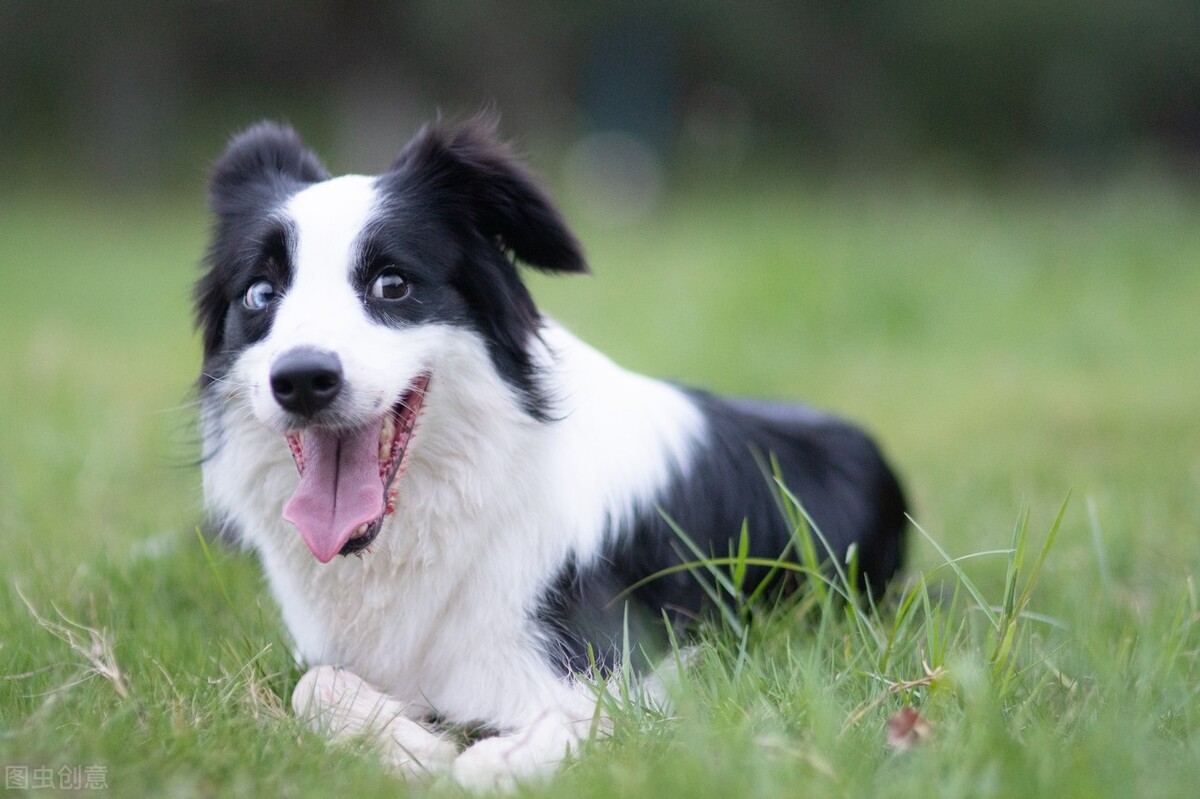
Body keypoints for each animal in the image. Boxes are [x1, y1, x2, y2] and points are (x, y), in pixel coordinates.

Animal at [196, 118, 902, 782]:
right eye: (260, 294)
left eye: (391, 285)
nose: (301, 379)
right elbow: (311, 686)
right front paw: (409, 746)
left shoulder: (618, 674)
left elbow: (533, 744)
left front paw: (454, 756)